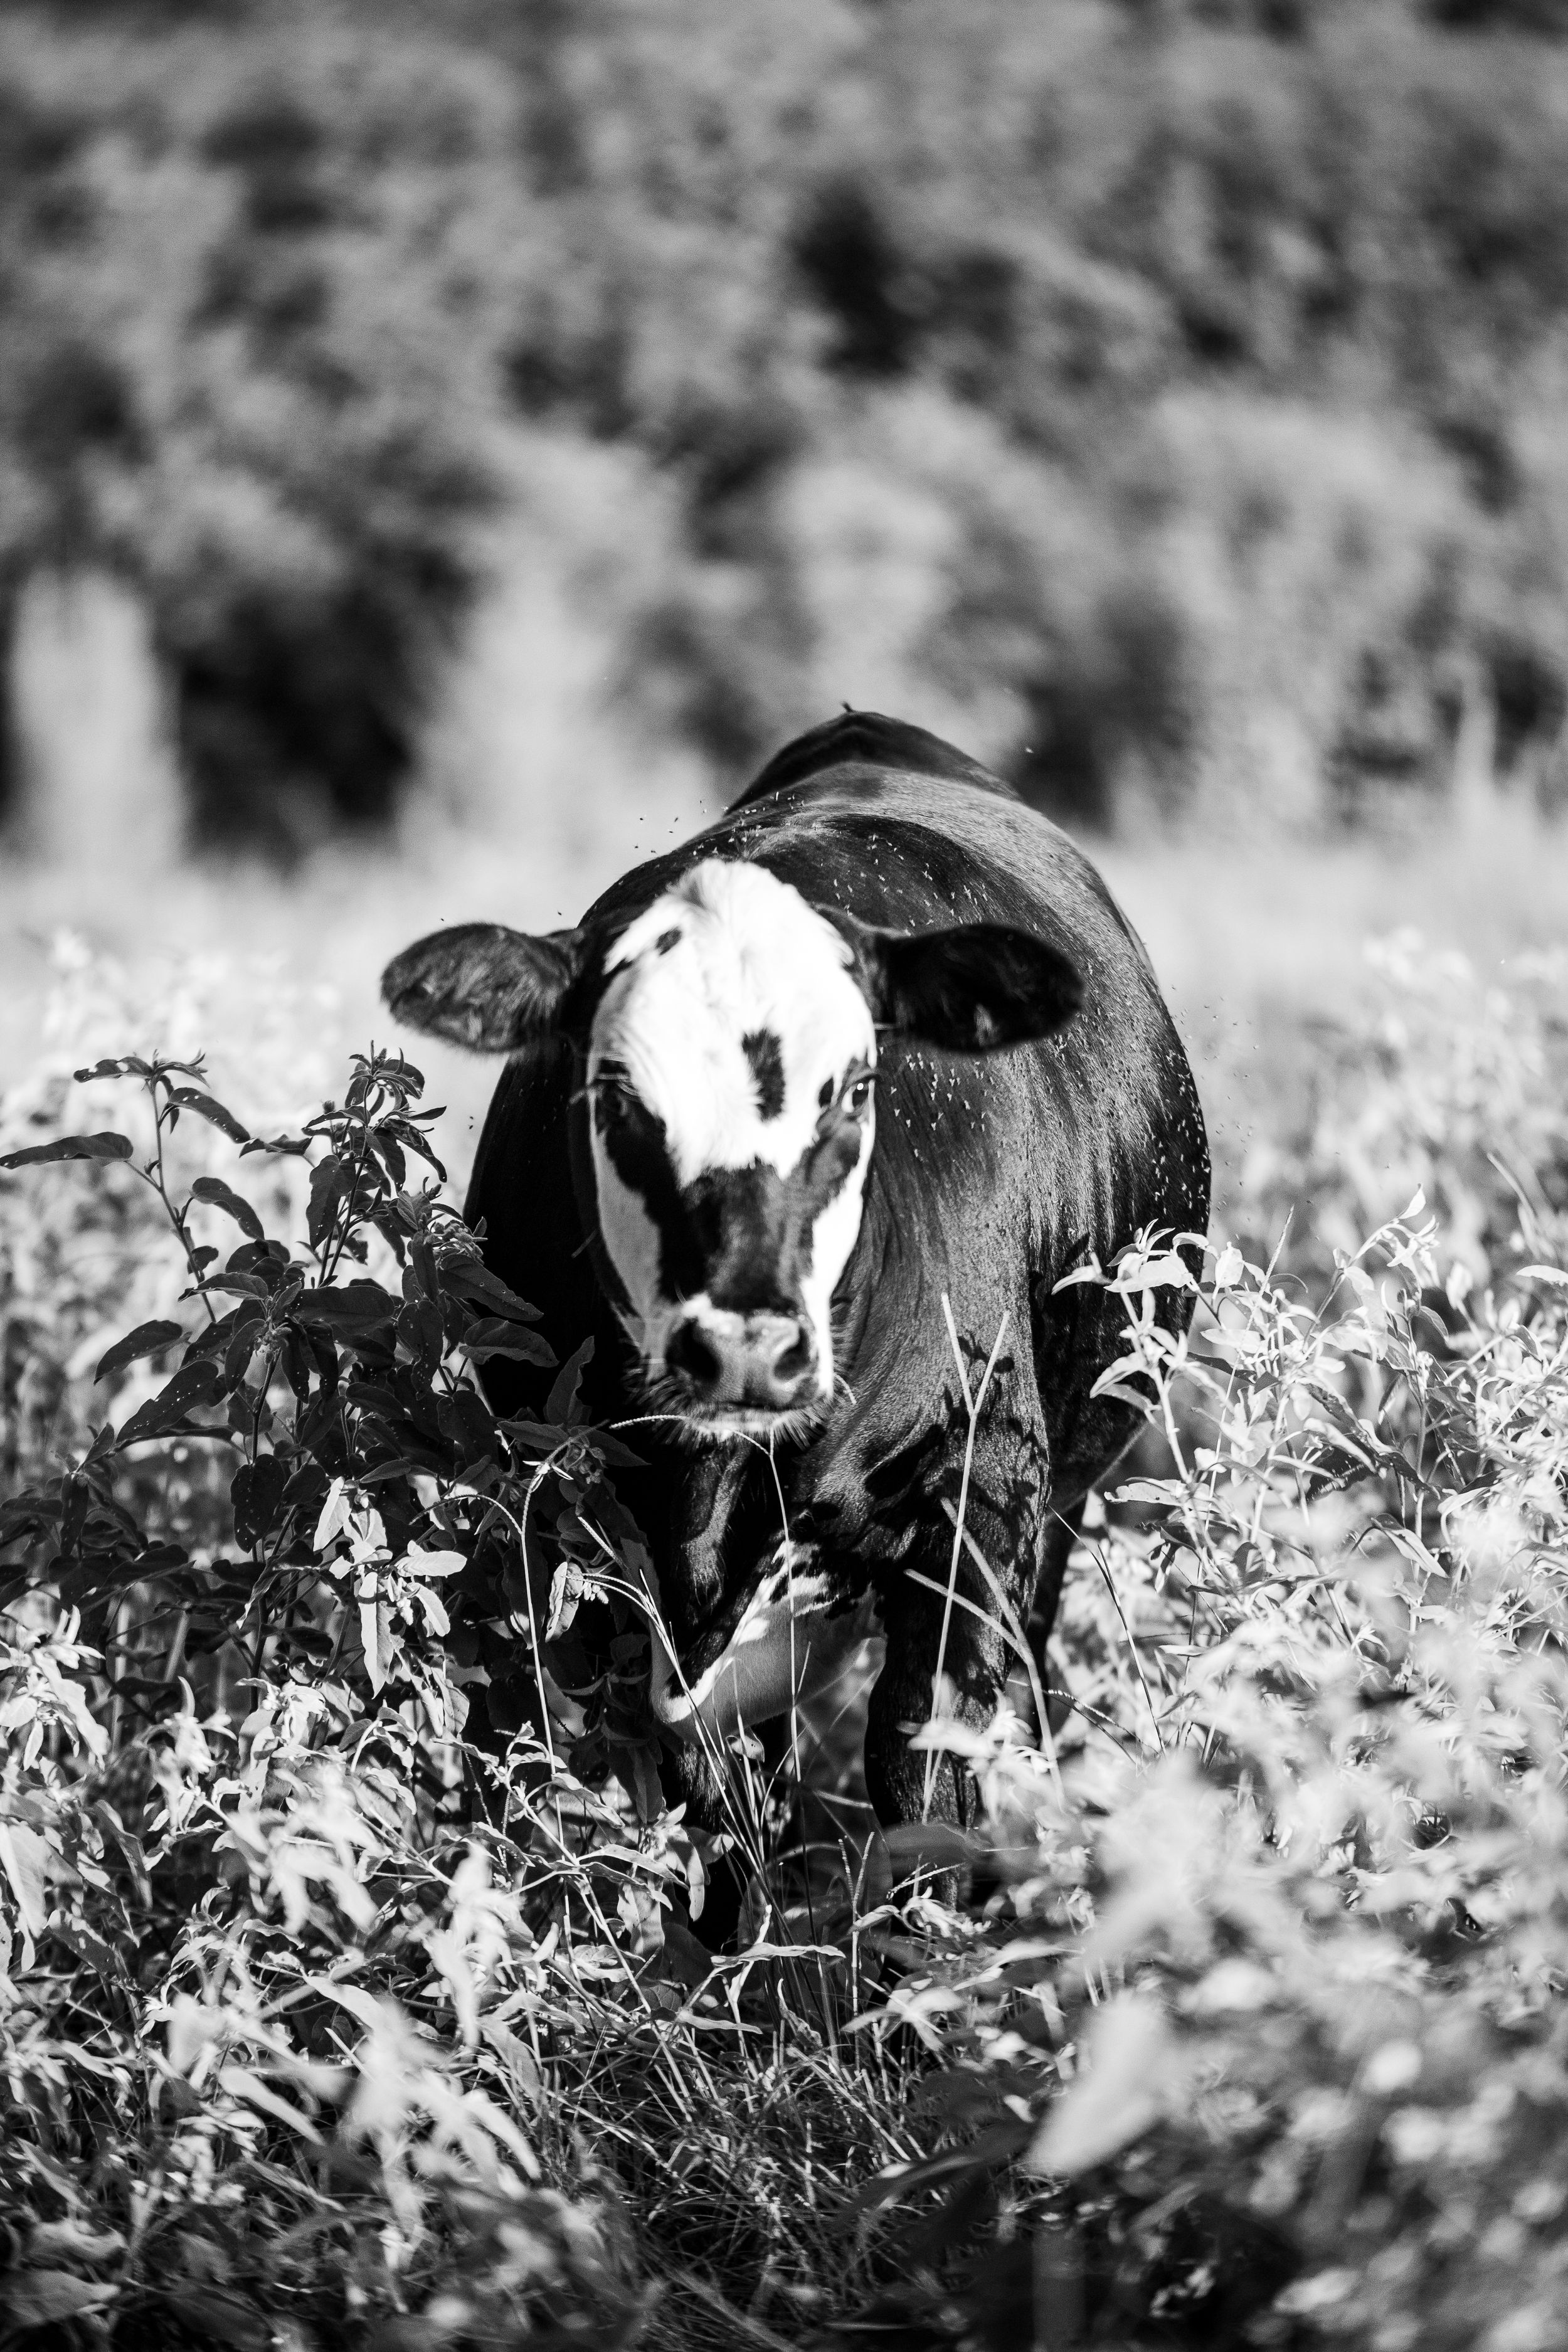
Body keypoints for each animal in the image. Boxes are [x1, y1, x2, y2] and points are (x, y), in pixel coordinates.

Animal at [382, 713, 1209, 1892]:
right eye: (613, 1091)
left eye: (855, 1087)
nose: (742, 1349)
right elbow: (720, 1821)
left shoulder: (984, 1493)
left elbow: (923, 1785)